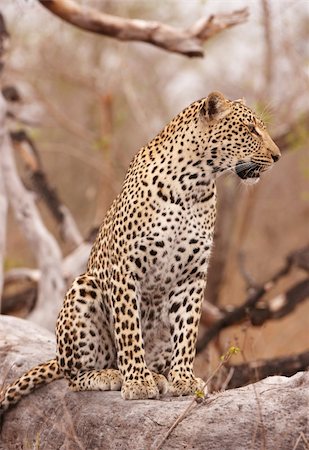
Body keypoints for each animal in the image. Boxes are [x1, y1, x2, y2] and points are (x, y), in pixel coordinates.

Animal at [0, 90, 280, 414]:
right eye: (250, 130)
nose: (277, 156)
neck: (195, 184)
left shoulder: (192, 276)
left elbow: (188, 330)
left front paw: (183, 379)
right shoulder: (125, 268)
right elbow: (129, 329)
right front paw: (136, 381)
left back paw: (158, 375)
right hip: (84, 288)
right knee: (73, 377)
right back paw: (110, 375)